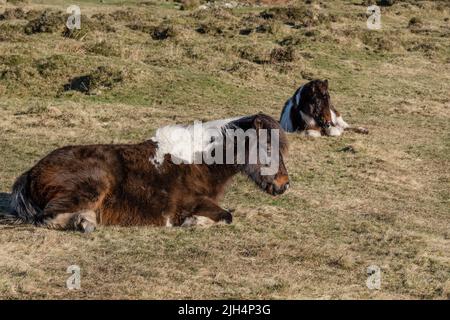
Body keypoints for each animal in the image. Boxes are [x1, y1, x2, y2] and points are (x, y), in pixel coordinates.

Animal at [3, 114, 290, 232]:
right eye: (267, 146)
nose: (284, 185)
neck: (198, 161)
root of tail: (31, 172)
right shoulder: (192, 203)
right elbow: (226, 216)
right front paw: (193, 222)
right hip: (93, 186)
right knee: (46, 217)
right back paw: (83, 223)